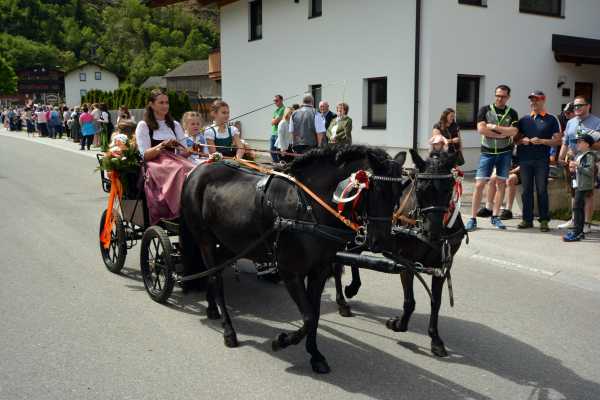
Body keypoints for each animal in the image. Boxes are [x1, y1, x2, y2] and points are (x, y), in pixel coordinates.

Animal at [178, 145, 404, 374]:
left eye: (399, 192)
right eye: (376, 190)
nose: (381, 241)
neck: (307, 207)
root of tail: (197, 171)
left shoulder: (319, 271)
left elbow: (315, 314)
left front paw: (315, 356)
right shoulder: (290, 273)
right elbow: (308, 317)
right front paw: (282, 341)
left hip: (232, 243)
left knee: (213, 272)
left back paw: (211, 307)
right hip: (205, 240)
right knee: (216, 278)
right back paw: (228, 330)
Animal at [332, 148, 464, 358]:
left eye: (448, 188)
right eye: (420, 189)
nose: (433, 232)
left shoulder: (442, 266)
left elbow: (436, 302)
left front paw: (435, 339)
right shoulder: (406, 262)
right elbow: (409, 301)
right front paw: (399, 324)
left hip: (363, 236)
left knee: (354, 257)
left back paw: (353, 287)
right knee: (337, 263)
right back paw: (342, 303)